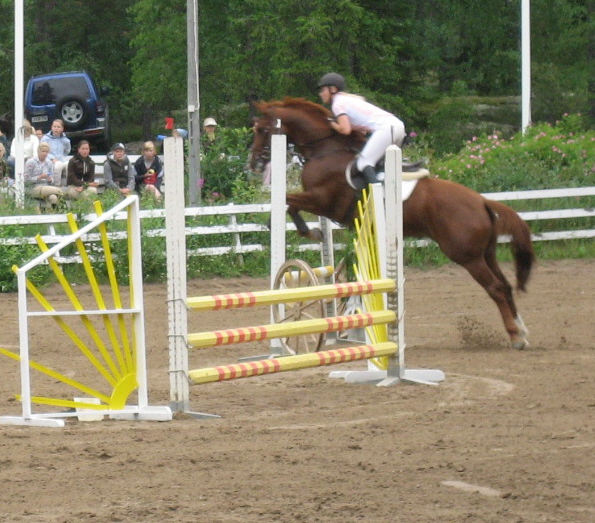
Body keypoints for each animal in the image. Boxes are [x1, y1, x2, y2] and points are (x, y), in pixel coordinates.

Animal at [249, 99, 536, 352]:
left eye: (261, 129)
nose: (253, 164)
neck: (326, 150)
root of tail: (483, 202)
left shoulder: (323, 202)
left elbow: (289, 202)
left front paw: (307, 230)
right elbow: (290, 203)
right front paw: (309, 230)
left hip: (466, 256)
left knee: (496, 289)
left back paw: (516, 337)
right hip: (485, 253)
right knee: (505, 286)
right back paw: (522, 330)